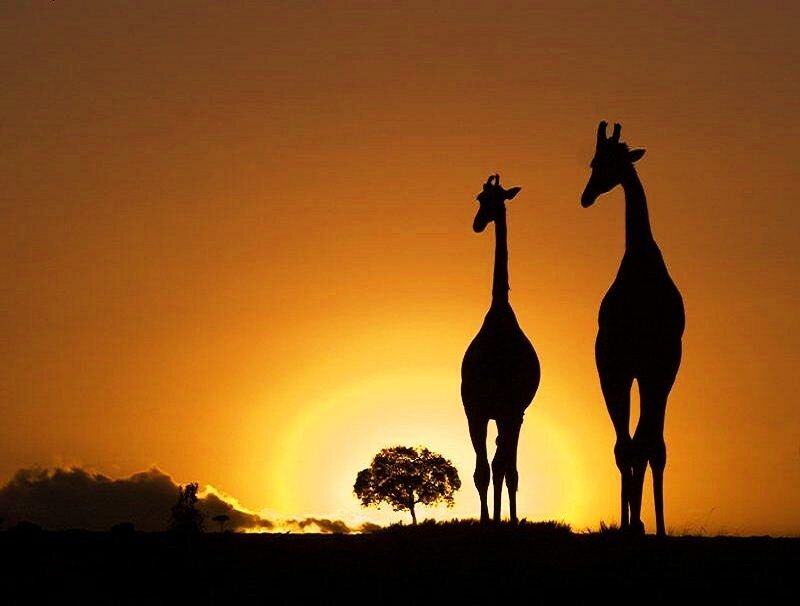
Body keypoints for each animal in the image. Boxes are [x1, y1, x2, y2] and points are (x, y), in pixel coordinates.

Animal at [581, 122, 685, 536]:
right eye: (594, 161)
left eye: (605, 163)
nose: (586, 197)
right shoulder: (634, 367)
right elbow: (639, 444)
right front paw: (637, 522)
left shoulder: (663, 366)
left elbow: (653, 445)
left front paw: (658, 526)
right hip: (614, 371)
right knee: (624, 443)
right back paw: (628, 522)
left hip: (635, 372)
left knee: (635, 442)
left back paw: (637, 521)